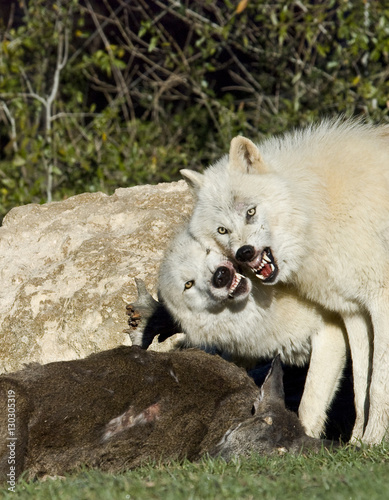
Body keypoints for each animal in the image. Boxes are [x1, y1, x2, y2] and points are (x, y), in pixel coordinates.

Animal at [181, 118, 388, 446]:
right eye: (222, 230)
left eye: (250, 212)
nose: (244, 252)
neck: (318, 207)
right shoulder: (354, 311)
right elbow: (361, 388)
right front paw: (357, 443)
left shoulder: (380, 299)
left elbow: (378, 384)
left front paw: (373, 442)